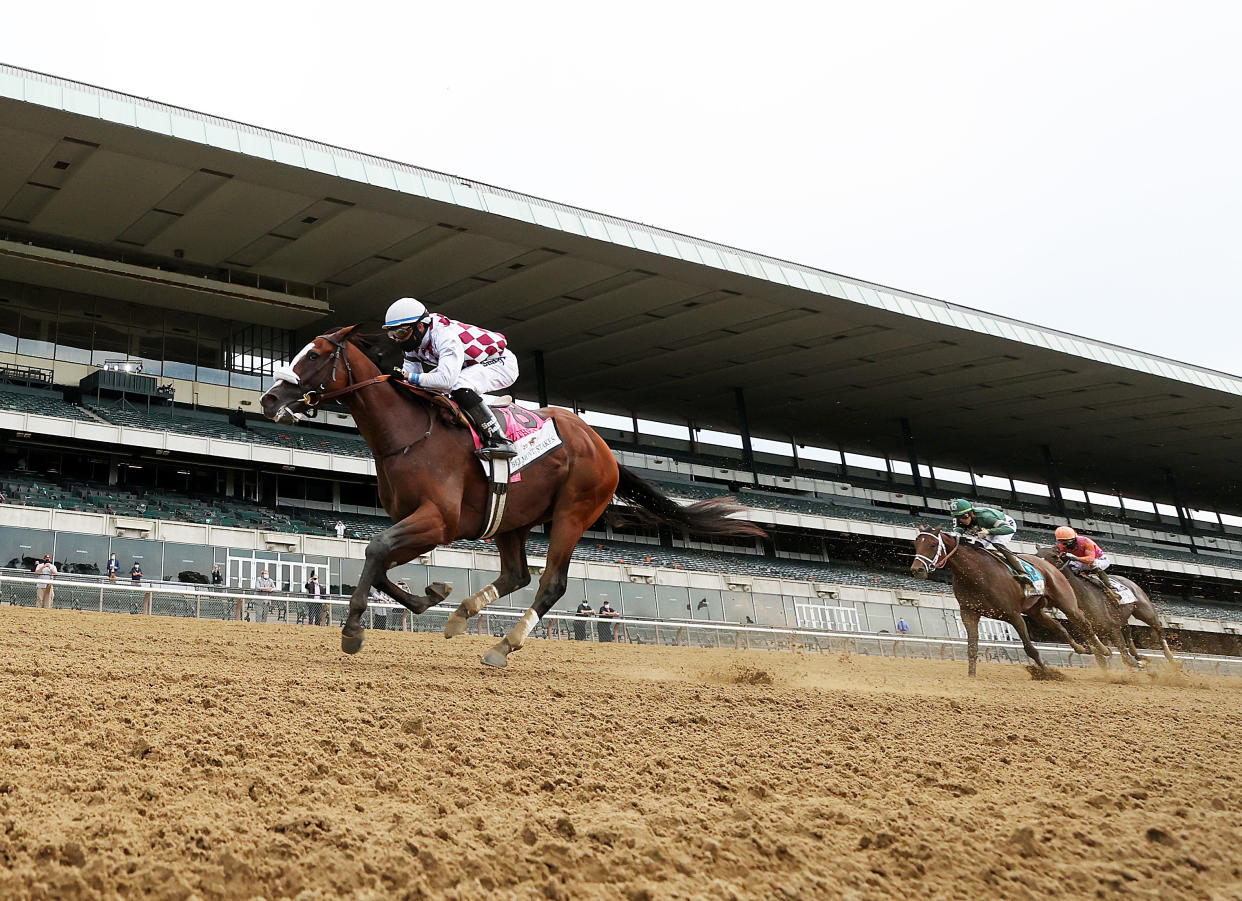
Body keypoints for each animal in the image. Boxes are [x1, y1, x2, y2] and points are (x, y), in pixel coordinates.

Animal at [259, 328, 765, 666]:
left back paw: (505, 644)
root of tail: (605, 449)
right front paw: (433, 595)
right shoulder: (422, 523)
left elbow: (375, 550)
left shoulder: (437, 520)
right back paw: (461, 614)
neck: (407, 434)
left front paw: (352, 630)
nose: (268, 399)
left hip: (573, 513)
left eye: (315, 354)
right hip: (510, 519)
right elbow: (380, 563)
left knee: (551, 583)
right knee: (518, 573)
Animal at [909, 526, 1112, 676]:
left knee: (1084, 623)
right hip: (1034, 610)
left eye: (933, 544)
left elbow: (1030, 648)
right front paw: (971, 676)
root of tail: (1050, 566)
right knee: (1058, 626)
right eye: (916, 544)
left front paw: (1048, 673)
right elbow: (972, 648)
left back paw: (1104, 650)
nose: (917, 570)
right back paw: (1083, 648)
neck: (975, 574)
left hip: (1066, 602)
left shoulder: (1013, 614)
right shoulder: (969, 613)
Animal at [1033, 549, 1177, 666]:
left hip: (1145, 611)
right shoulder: (1086, 632)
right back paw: (1139, 655)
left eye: (1054, 556)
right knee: (1128, 631)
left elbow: (1125, 659)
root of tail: (1130, 582)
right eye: (1036, 555)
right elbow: (1100, 658)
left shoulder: (1113, 629)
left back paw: (1171, 658)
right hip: (1122, 617)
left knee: (1158, 628)